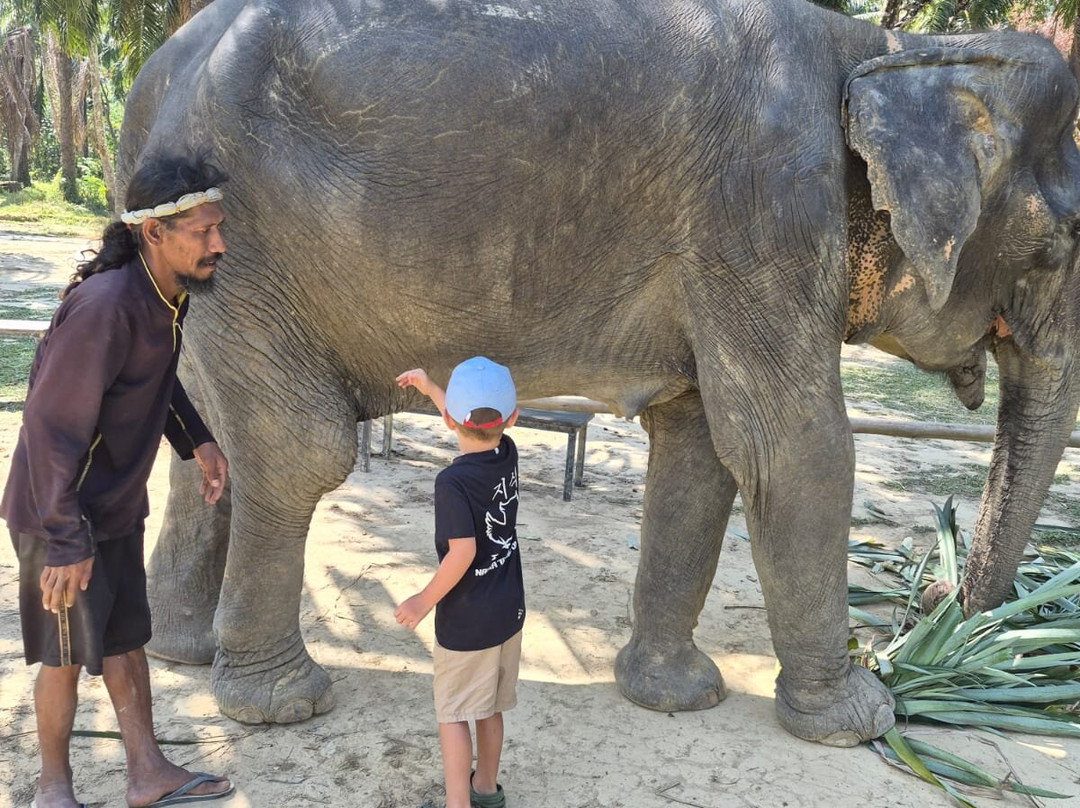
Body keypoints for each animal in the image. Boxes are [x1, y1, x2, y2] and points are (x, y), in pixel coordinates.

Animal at [119, 0, 1080, 746]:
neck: (883, 49)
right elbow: (792, 448)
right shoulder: (764, 210)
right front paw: (862, 720)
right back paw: (278, 704)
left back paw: (181, 653)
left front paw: (677, 698)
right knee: (298, 450)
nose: (940, 616)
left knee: (209, 442)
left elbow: (701, 446)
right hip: (236, 244)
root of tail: (152, 81)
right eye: (1059, 247)